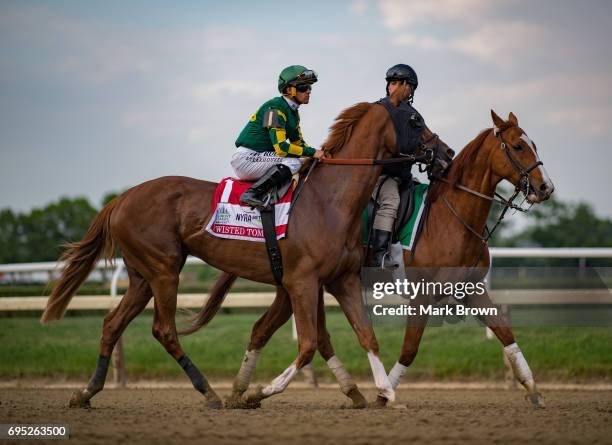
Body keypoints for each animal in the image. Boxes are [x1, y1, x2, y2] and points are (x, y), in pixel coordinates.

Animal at [40, 98, 442, 410]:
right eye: (414, 120)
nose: (444, 153)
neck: (330, 200)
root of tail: (122, 197)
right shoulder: (302, 281)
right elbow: (309, 344)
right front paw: (256, 392)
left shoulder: (340, 280)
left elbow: (366, 336)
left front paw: (386, 393)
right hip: (164, 270)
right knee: (164, 330)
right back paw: (209, 392)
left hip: (142, 276)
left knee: (112, 324)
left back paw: (86, 392)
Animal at [183, 109, 556, 408]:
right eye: (519, 146)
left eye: (536, 144)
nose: (545, 187)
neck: (452, 218)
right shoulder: (421, 297)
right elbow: (409, 350)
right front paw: (383, 393)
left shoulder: (472, 291)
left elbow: (506, 334)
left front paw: (534, 390)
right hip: (302, 285)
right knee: (297, 335)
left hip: (296, 286)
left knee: (268, 330)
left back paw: (244, 392)